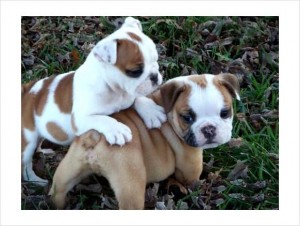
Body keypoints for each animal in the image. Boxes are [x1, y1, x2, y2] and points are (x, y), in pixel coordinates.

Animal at [21, 16, 166, 185]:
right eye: (135, 71)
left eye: (156, 60)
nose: (155, 76)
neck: (115, 90)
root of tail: (28, 91)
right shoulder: (79, 119)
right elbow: (102, 118)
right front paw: (117, 129)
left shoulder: (130, 94)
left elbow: (138, 96)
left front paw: (152, 112)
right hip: (27, 141)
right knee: (25, 164)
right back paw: (35, 180)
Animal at [49, 73, 241, 209]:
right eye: (187, 117)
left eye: (225, 112)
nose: (209, 128)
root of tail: (97, 136)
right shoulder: (190, 163)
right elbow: (190, 178)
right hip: (130, 182)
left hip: (69, 168)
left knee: (58, 189)